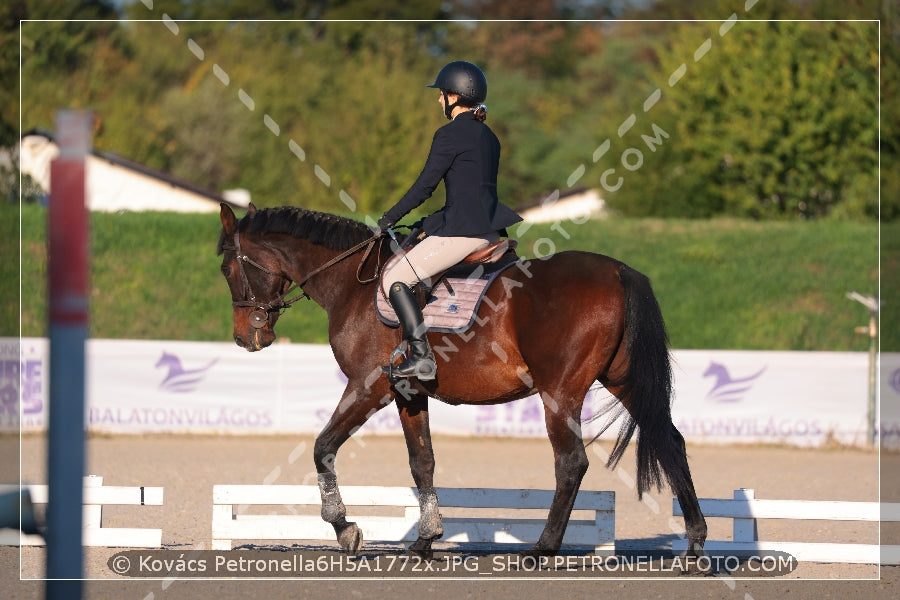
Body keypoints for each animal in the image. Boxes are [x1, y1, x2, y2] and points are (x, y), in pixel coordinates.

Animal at [220, 204, 712, 564]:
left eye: (227, 267)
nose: (246, 338)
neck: (351, 283)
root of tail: (617, 271)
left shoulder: (366, 387)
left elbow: (323, 447)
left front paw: (346, 529)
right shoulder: (407, 393)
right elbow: (422, 463)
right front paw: (426, 539)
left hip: (560, 392)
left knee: (572, 462)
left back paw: (542, 549)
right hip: (622, 380)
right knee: (670, 440)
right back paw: (695, 543)